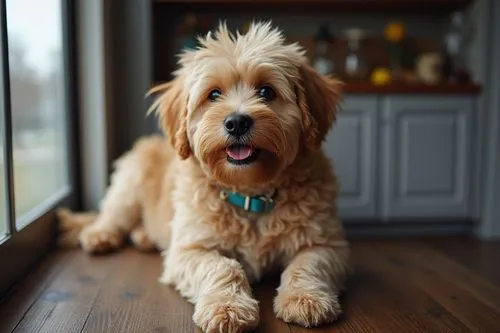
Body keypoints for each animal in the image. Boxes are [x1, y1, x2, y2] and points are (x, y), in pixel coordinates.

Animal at [58, 22, 350, 332]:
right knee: (112, 215)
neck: (249, 193)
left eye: (266, 91)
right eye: (213, 95)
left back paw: (144, 236)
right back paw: (100, 234)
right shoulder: (190, 248)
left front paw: (306, 298)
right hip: (129, 185)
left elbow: (307, 265)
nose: (237, 122)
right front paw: (227, 307)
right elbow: (222, 266)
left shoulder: (326, 244)